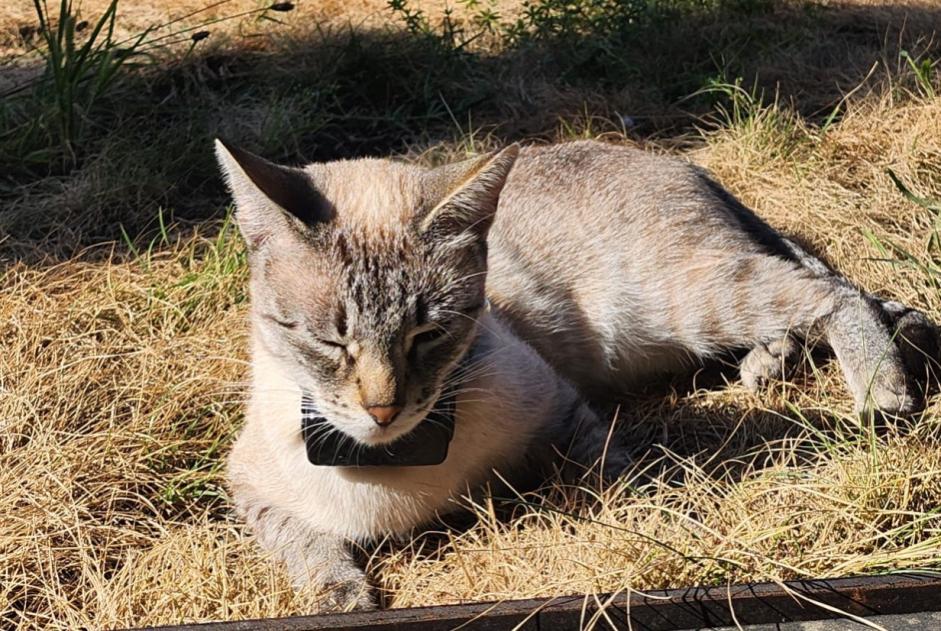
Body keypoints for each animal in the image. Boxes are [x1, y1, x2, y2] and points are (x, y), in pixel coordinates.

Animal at [215, 139, 940, 612]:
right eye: (327, 339)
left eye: (428, 335)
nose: (383, 410)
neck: (395, 461)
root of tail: (678, 160)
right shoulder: (248, 486)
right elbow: (303, 543)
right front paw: (341, 597)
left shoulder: (561, 407)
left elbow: (614, 472)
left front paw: (654, 516)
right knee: (815, 300)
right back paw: (772, 363)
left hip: (682, 302)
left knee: (834, 293)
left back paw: (884, 392)